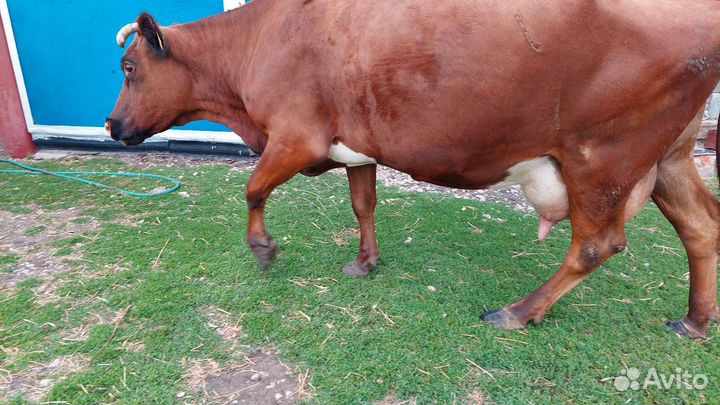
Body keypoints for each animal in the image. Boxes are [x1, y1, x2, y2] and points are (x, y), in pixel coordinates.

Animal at [107, 0, 720, 339]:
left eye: (130, 67)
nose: (111, 125)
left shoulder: (296, 137)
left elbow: (253, 188)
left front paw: (262, 248)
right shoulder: (355, 144)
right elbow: (363, 203)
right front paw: (365, 262)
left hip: (601, 158)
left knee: (597, 244)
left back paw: (517, 313)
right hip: (670, 157)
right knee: (701, 227)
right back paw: (694, 322)